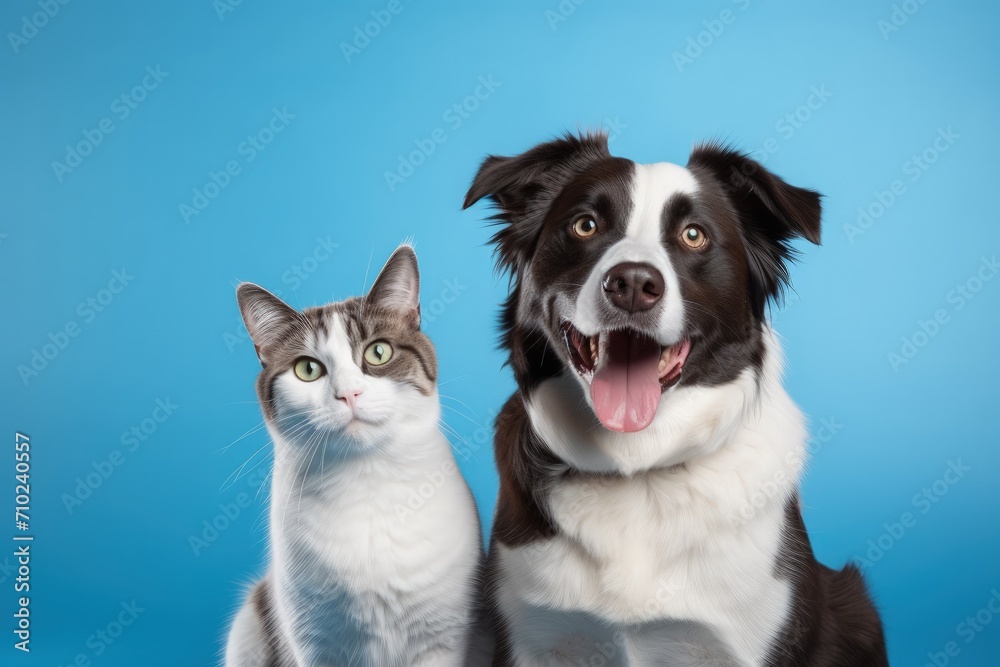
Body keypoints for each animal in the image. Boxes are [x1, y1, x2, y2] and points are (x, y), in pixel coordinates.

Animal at [228, 247, 492, 667]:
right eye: (308, 369)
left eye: (378, 352)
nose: (349, 393)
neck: (367, 481)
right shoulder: (315, 643)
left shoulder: (440, 639)